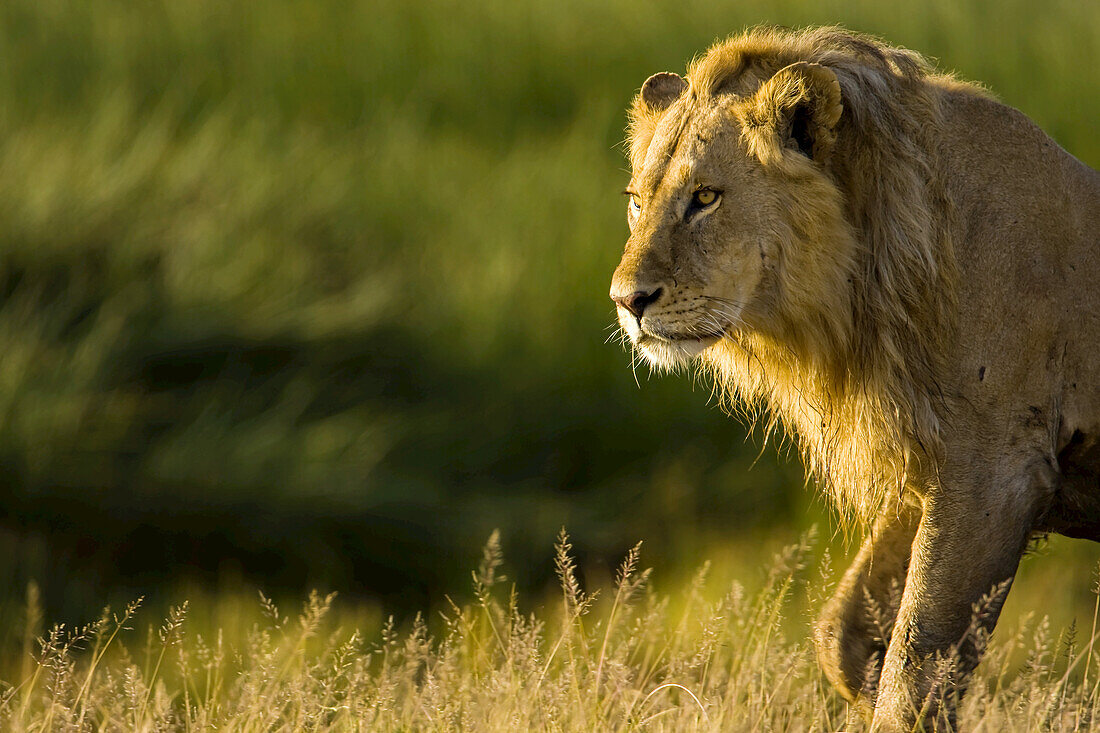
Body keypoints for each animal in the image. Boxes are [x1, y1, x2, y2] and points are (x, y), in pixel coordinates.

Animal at [611, 25, 1100, 726]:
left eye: (704, 198)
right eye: (636, 200)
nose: (627, 301)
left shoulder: (998, 469)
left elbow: (914, 664)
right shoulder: (926, 469)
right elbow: (844, 638)